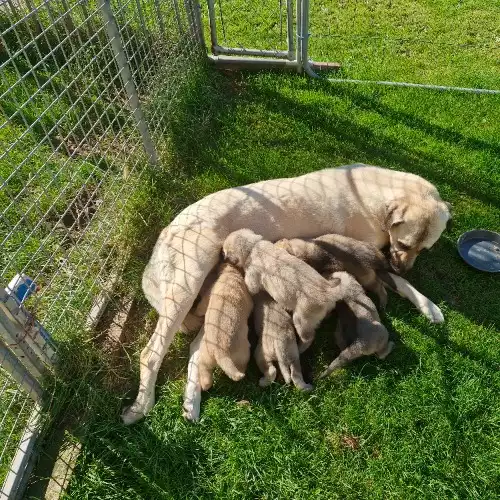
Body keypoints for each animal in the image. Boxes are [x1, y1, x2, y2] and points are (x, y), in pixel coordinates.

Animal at [197, 262, 254, 390]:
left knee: (203, 367)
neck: (230, 274)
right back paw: (242, 374)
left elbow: (202, 306)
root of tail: (220, 352)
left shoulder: (209, 293)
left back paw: (205, 385)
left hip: (205, 354)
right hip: (243, 353)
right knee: (242, 365)